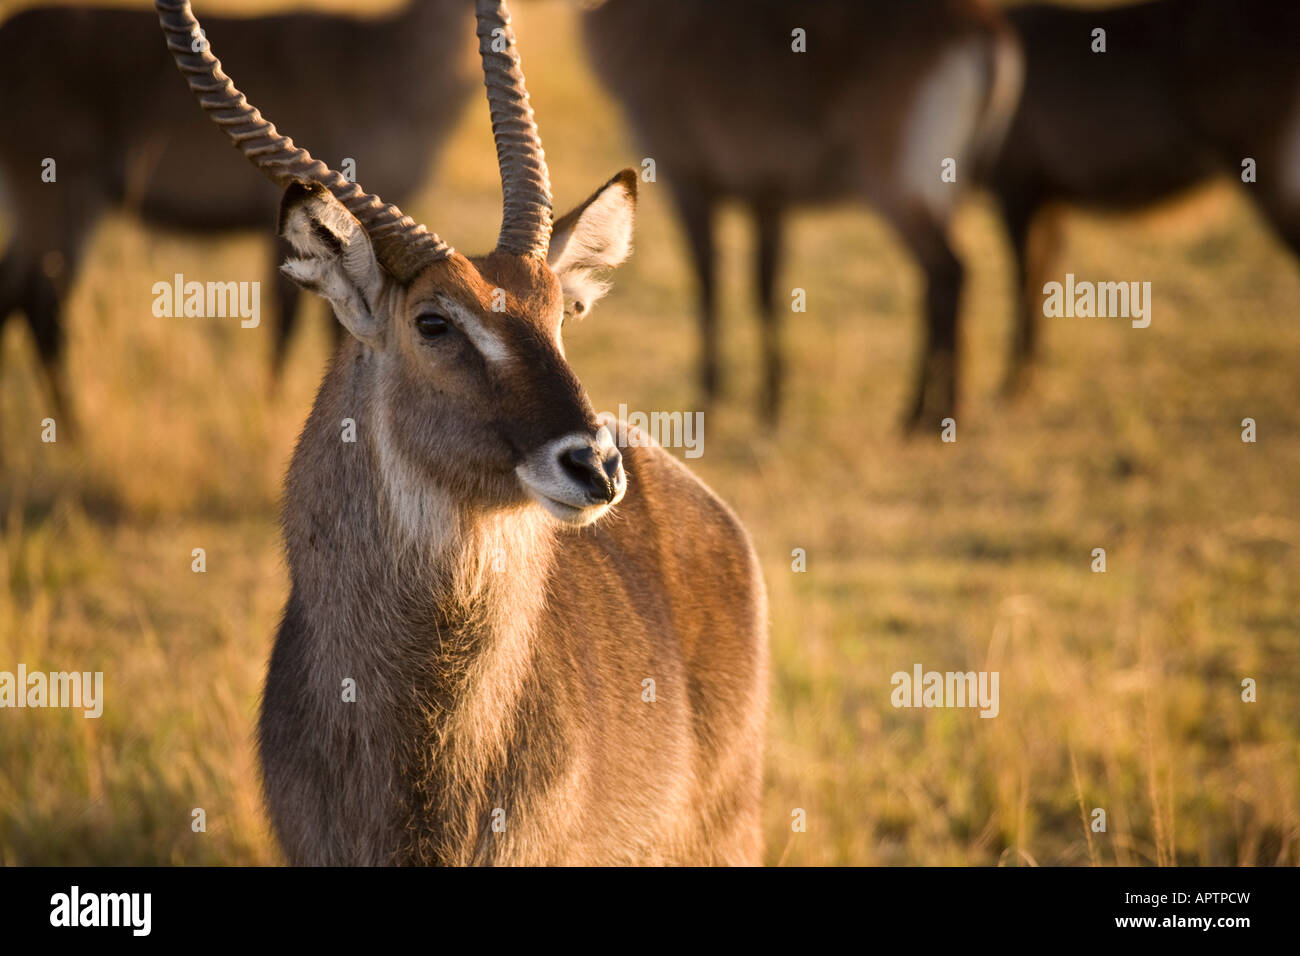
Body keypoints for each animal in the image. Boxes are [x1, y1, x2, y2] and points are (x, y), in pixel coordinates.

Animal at [585, 0, 1019, 429]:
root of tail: (983, 25)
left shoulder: (687, 181)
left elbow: (709, 283)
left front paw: (708, 402)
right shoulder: (767, 196)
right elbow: (766, 287)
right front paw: (770, 403)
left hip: (898, 186)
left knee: (948, 271)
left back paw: (926, 415)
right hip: (946, 190)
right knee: (940, 282)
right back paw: (931, 413)